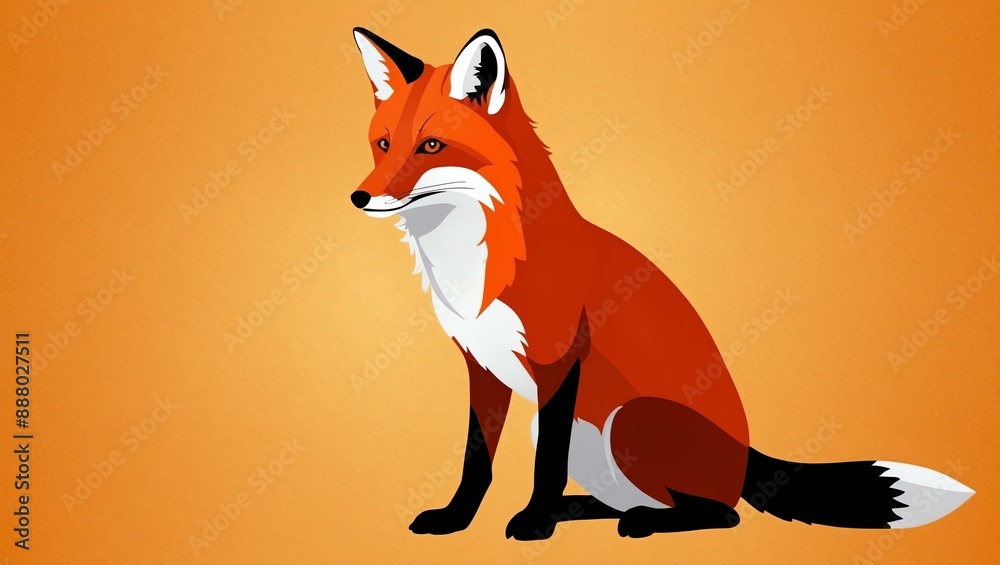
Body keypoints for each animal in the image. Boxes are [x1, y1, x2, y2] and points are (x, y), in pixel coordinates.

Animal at [349, 27, 974, 540]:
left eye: (431, 147)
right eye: (383, 144)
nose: (360, 197)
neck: (476, 262)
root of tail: (745, 456)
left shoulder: (559, 361)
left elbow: (545, 465)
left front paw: (533, 523)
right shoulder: (480, 365)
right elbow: (476, 462)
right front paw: (456, 519)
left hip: (633, 419)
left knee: (722, 513)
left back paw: (639, 521)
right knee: (634, 500)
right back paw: (595, 511)